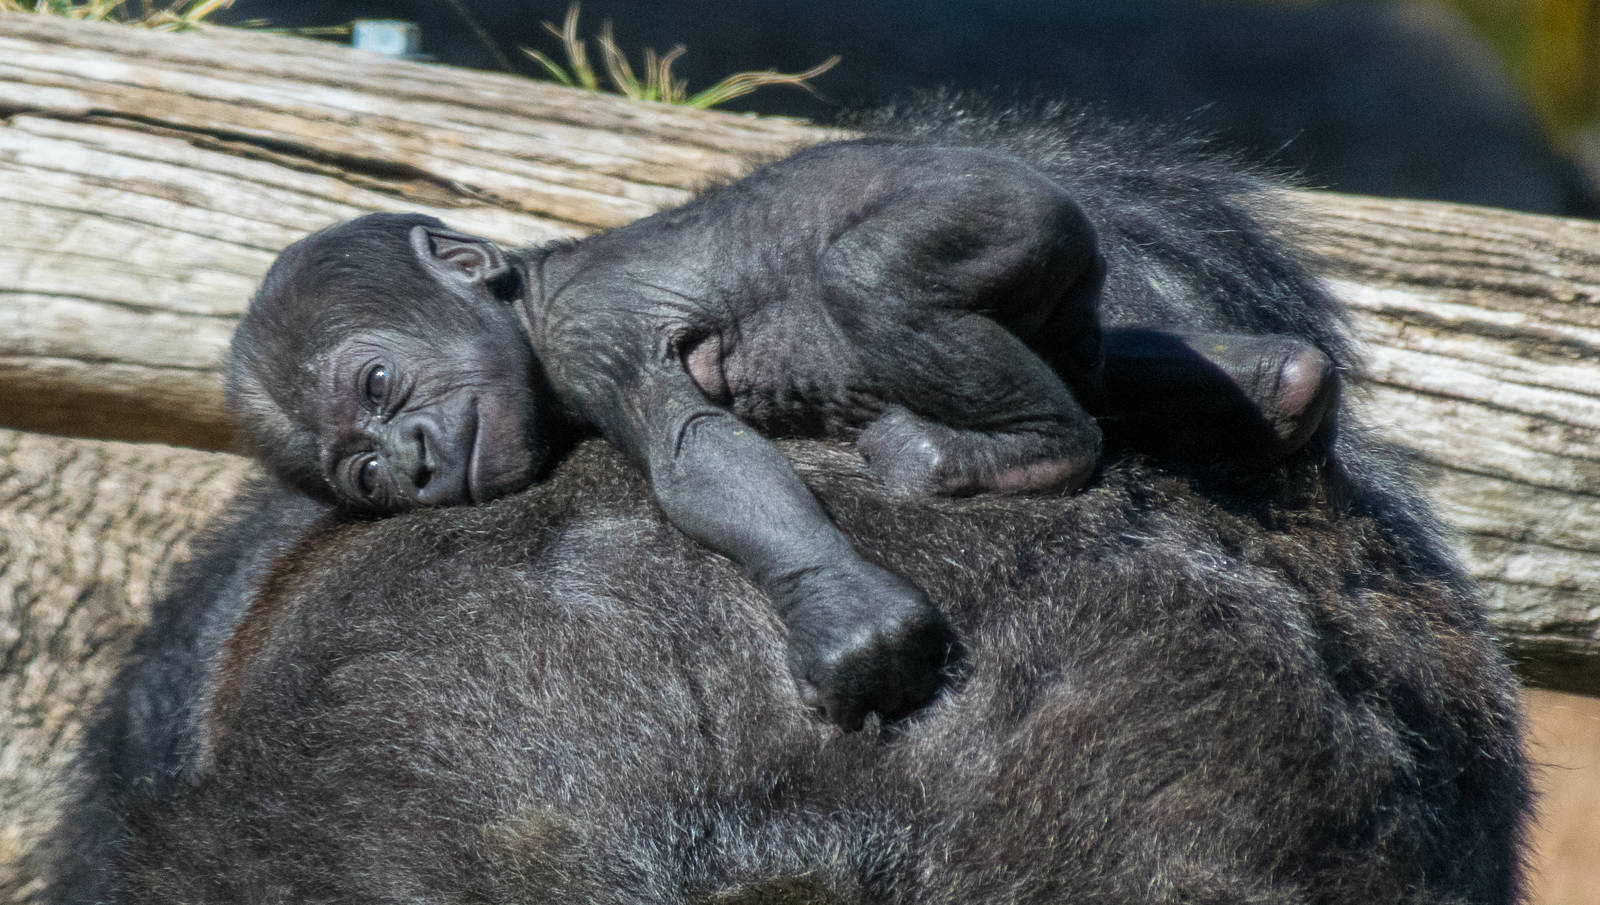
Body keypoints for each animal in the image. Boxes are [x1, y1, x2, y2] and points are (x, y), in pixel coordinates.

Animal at [226, 121, 1341, 731]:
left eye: (377, 382)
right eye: (361, 475)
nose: (404, 461)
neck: (532, 303)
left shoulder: (594, 331)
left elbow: (698, 460)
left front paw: (851, 620)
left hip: (1001, 205)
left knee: (876, 281)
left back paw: (1031, 448)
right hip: (1065, 293)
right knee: (1104, 361)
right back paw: (1281, 386)